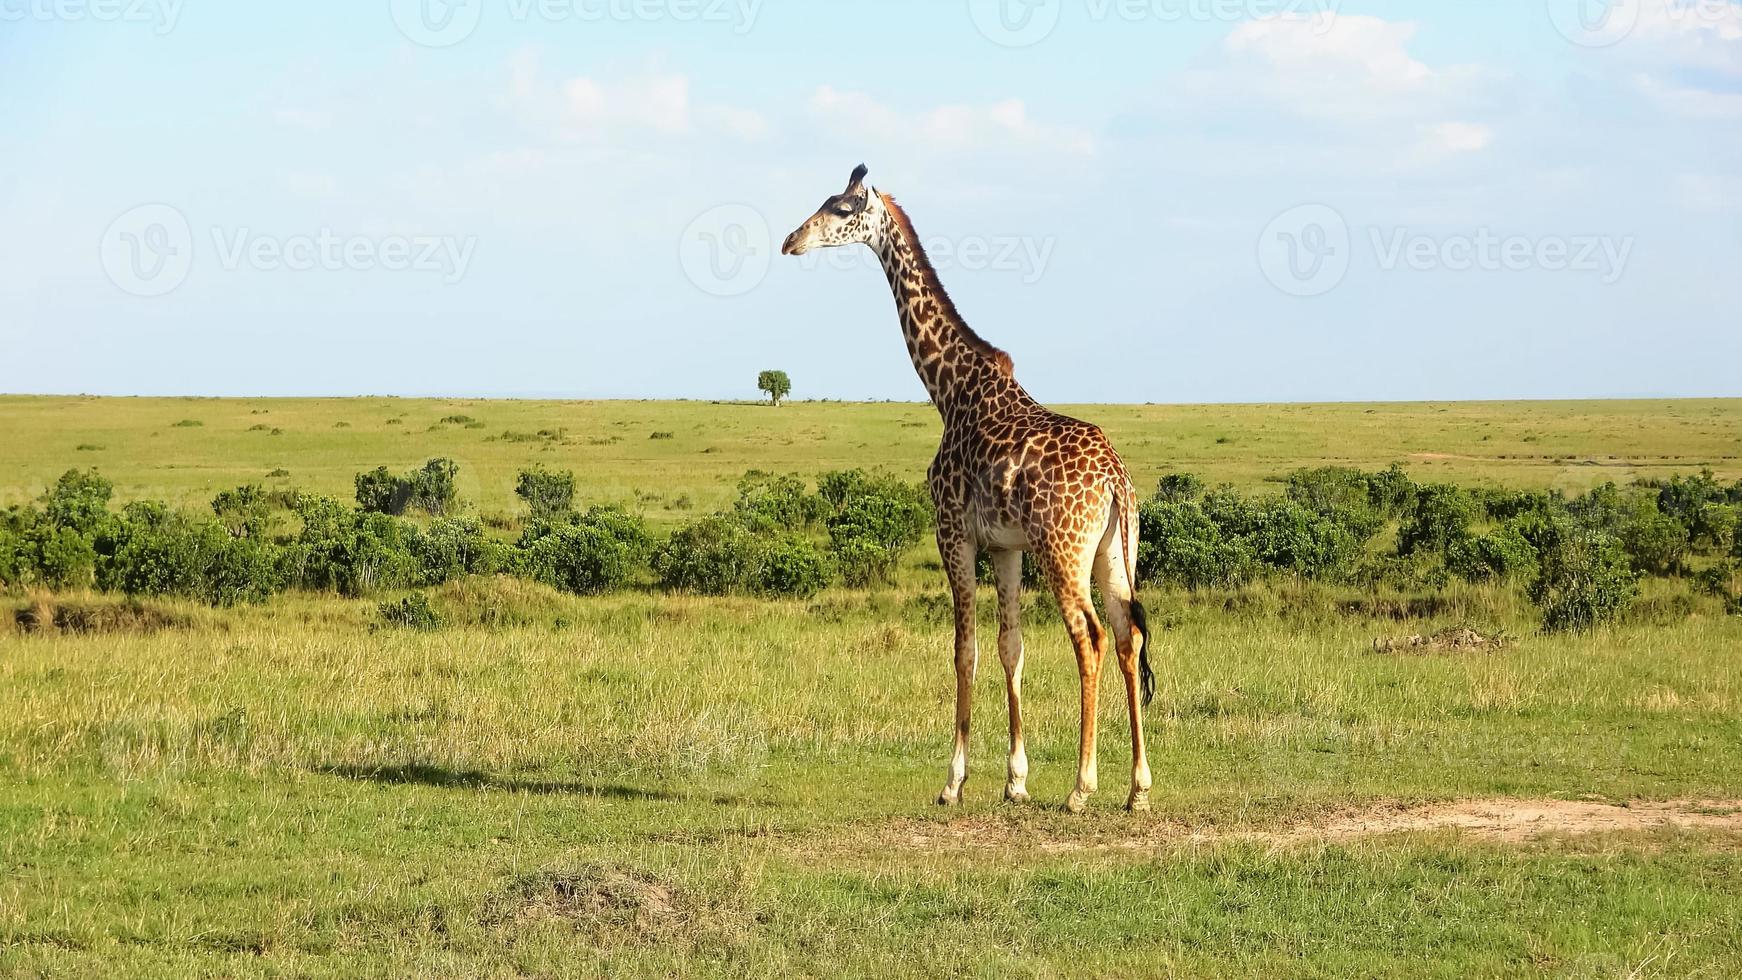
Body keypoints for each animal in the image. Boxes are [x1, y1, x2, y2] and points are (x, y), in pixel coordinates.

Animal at [783, 167, 1149, 814]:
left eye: (843, 208)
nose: (791, 240)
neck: (948, 390)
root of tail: (1115, 481)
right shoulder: (1004, 546)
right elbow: (1010, 647)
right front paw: (1015, 781)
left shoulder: (952, 532)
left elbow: (965, 649)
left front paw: (953, 781)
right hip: (1112, 550)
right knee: (1128, 635)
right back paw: (1137, 787)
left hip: (1063, 551)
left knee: (1091, 636)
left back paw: (1082, 787)